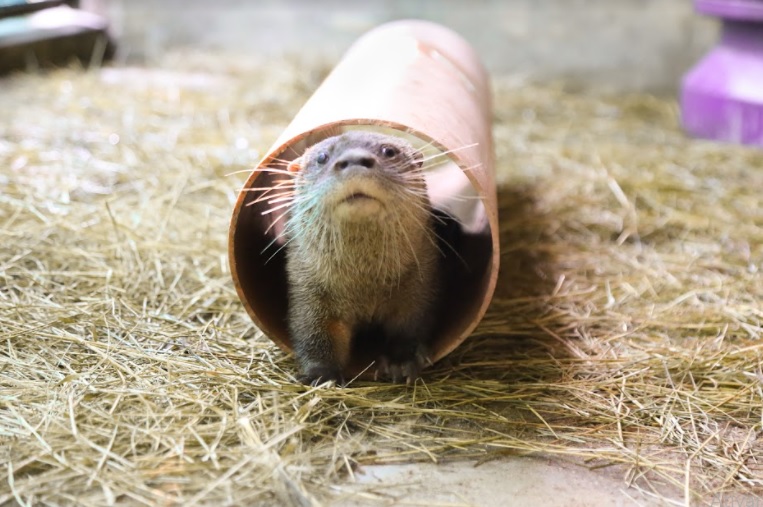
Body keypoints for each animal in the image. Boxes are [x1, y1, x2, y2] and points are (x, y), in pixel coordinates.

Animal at [282, 131, 442, 384]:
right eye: (322, 157)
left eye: (389, 151)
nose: (354, 159)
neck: (365, 285)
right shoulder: (307, 287)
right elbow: (313, 331)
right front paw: (321, 375)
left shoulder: (420, 283)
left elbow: (411, 325)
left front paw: (401, 361)